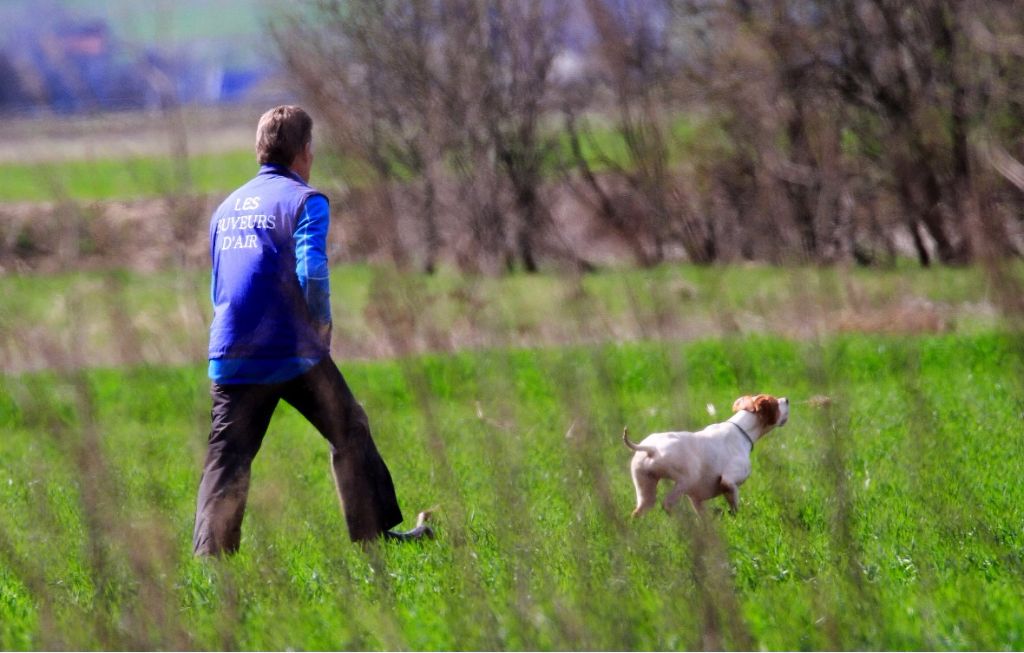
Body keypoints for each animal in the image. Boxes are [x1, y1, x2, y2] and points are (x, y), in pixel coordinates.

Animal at [618, 397, 786, 519]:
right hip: (686, 479)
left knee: (640, 510)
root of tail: (651, 448)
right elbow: (734, 505)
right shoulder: (729, 482)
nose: (787, 399)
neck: (741, 429)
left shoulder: (696, 499)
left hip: (645, 488)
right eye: (775, 401)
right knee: (667, 503)